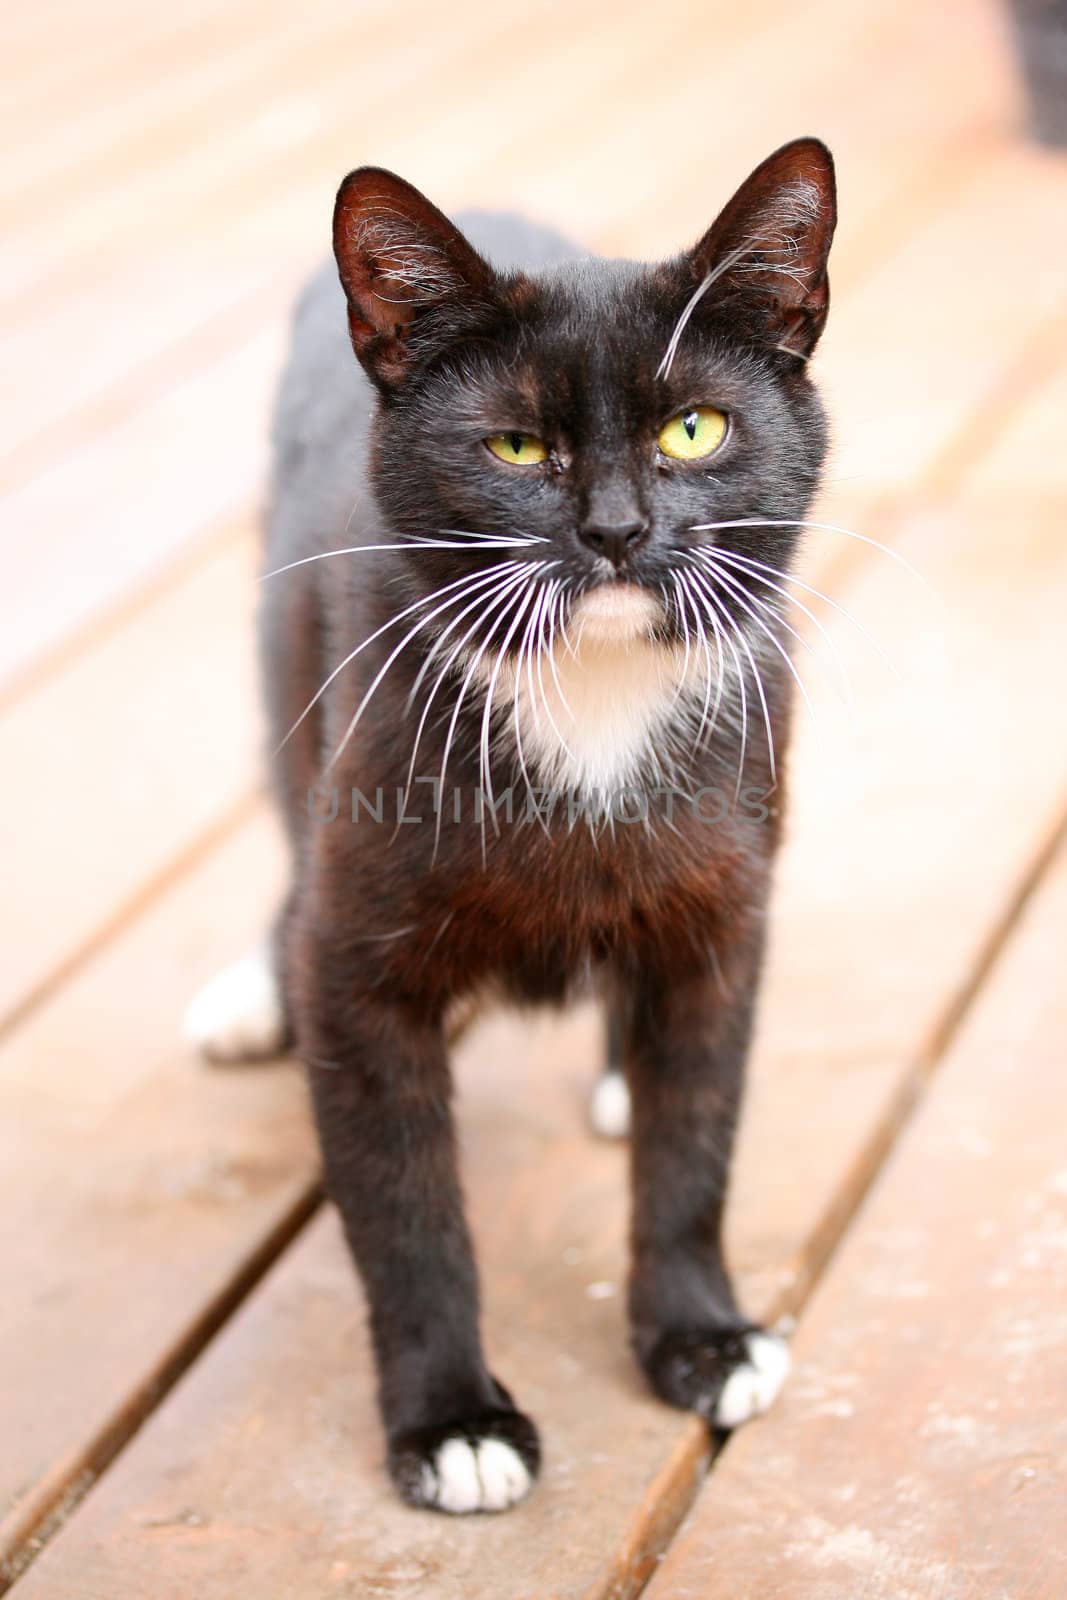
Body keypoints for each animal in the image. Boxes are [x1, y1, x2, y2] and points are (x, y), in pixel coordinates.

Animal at [187, 137, 838, 1510]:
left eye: (692, 428)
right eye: (515, 445)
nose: (614, 529)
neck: (590, 695)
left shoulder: (727, 904)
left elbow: (696, 1134)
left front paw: (701, 1336)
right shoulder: (363, 956)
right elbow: (403, 1201)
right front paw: (452, 1420)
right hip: (289, 659)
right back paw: (253, 990)